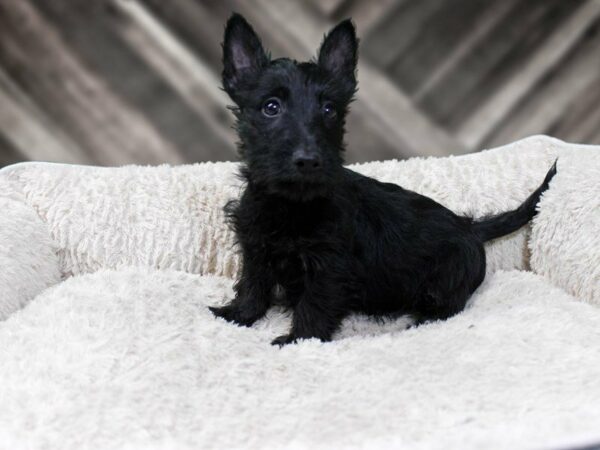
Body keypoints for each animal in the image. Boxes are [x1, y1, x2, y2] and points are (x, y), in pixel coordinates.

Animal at [211, 13, 556, 344]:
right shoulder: (255, 246)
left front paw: (298, 339)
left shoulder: (329, 267)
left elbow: (314, 305)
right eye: (271, 107)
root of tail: (470, 227)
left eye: (329, 110)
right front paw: (236, 315)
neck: (292, 204)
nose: (308, 160)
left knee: (445, 310)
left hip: (442, 284)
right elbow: (253, 285)